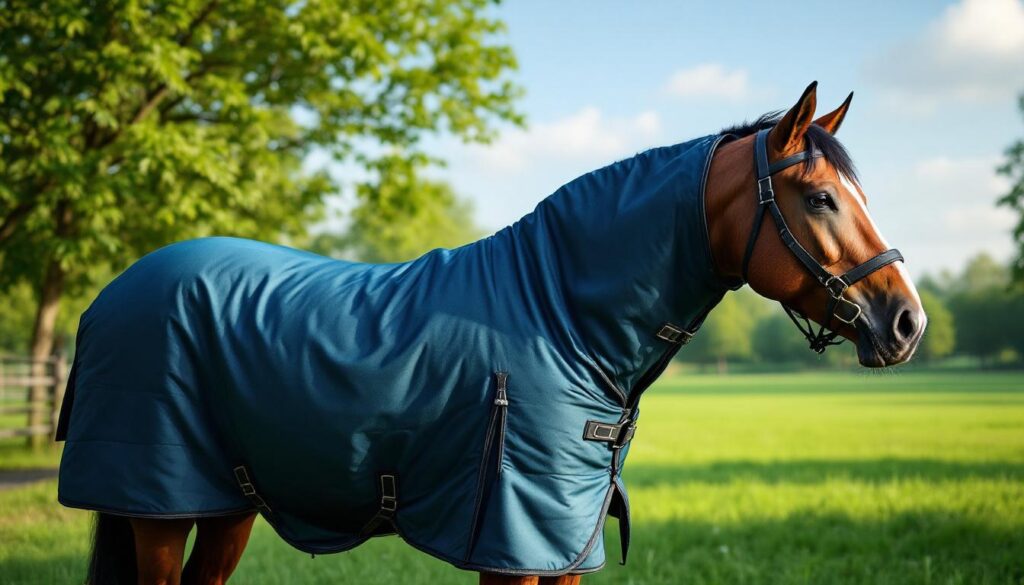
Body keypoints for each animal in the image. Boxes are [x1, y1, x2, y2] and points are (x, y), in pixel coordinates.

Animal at [55, 81, 925, 584]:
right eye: (819, 197)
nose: (907, 320)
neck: (561, 318)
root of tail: (113, 293)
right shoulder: (512, 547)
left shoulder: (565, 546)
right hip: (158, 514)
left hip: (225, 505)